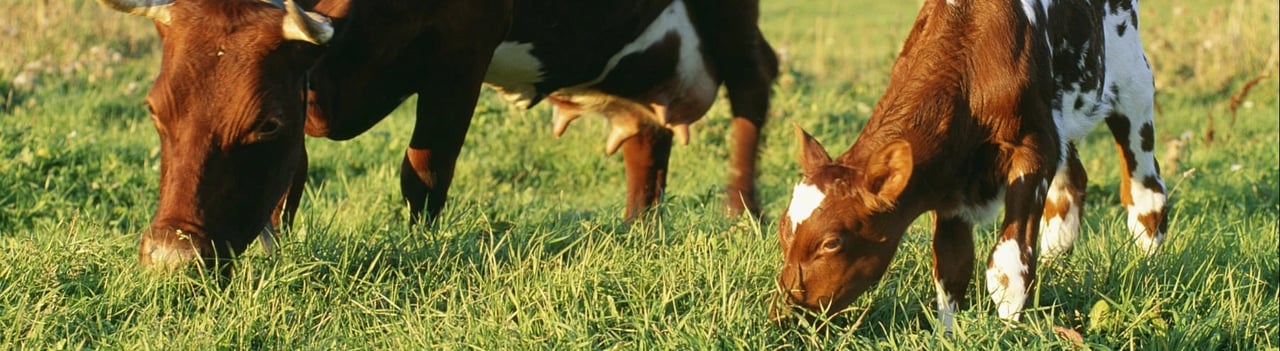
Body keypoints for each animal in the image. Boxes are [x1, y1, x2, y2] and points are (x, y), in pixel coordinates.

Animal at [94, 0, 773, 270]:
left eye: (264, 122)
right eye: (154, 110)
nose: (170, 257)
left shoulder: (463, 52)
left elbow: (424, 171)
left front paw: (422, 249)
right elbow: (294, 177)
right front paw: (277, 247)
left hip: (731, 16)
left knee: (754, 81)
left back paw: (743, 213)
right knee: (647, 132)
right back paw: (639, 232)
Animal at [768, 0, 1172, 333]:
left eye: (831, 243)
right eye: (782, 229)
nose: (784, 311)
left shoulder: (1034, 145)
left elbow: (1007, 262)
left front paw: (1009, 329)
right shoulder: (951, 177)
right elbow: (952, 264)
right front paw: (947, 334)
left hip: (1133, 82)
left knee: (1146, 191)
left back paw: (1149, 268)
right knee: (1071, 183)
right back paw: (1058, 264)